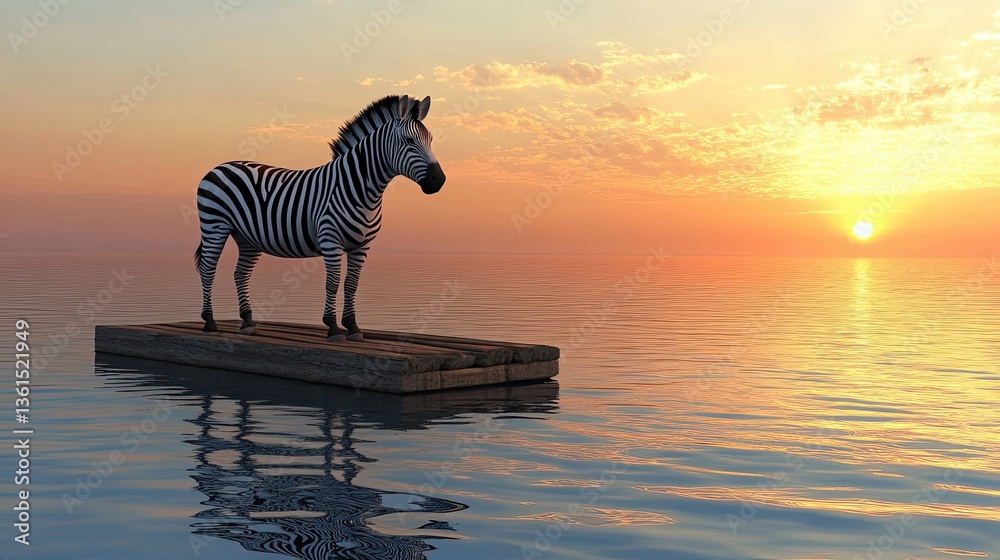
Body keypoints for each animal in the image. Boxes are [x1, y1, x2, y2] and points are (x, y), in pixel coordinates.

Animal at [193, 94, 445, 342]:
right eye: (409, 141)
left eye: (431, 140)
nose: (439, 180)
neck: (359, 189)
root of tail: (220, 166)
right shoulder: (330, 239)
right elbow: (333, 283)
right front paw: (333, 327)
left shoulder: (362, 245)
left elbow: (351, 284)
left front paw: (353, 327)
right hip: (215, 225)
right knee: (208, 269)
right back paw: (209, 322)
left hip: (247, 237)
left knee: (240, 274)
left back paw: (247, 322)